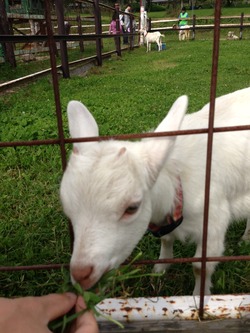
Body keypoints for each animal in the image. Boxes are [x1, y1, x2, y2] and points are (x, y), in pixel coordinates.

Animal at [60, 87, 250, 294]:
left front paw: (199, 295)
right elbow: (166, 240)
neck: (179, 180)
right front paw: (160, 269)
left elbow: (200, 267)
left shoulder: (214, 223)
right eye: (68, 210)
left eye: (132, 208)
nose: (81, 274)